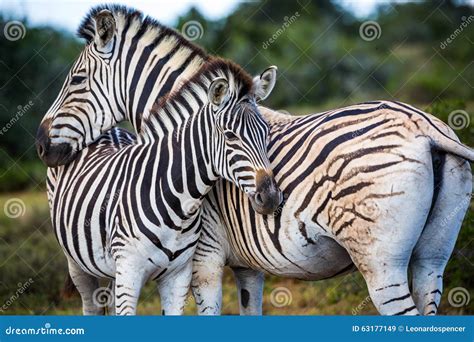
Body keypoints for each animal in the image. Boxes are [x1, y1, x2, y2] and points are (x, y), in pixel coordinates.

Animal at [43, 58, 282, 316]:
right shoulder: (129, 271)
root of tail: (109, 130)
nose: (271, 197)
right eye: (230, 136)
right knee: (92, 305)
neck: (177, 206)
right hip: (78, 263)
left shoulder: (178, 276)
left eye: (266, 132)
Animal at [191, 101, 472, 316]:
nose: (268, 200)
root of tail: (423, 126)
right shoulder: (247, 263)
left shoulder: (203, 253)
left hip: (382, 261)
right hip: (435, 254)